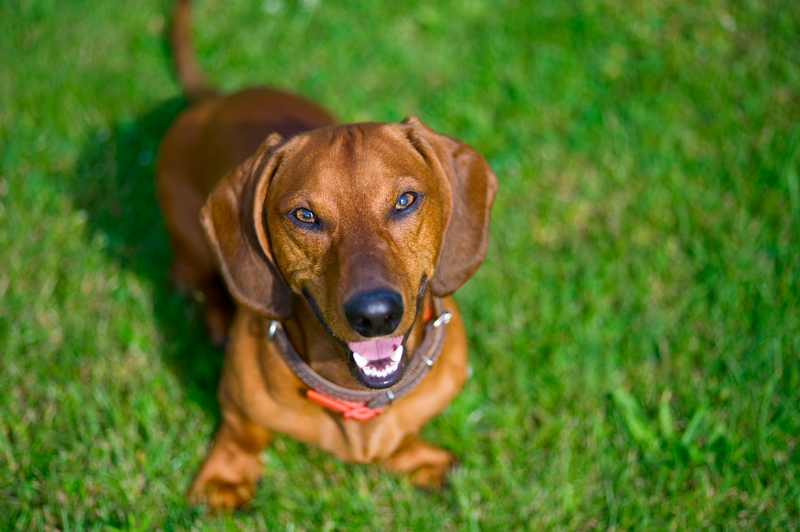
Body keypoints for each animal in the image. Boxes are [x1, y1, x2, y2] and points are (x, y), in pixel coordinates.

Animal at [154, 0, 496, 512]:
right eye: (305, 215)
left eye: (405, 200)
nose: (375, 316)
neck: (354, 393)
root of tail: (213, 101)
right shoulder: (237, 402)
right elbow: (241, 432)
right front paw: (223, 479)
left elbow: (402, 430)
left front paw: (419, 459)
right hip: (190, 245)